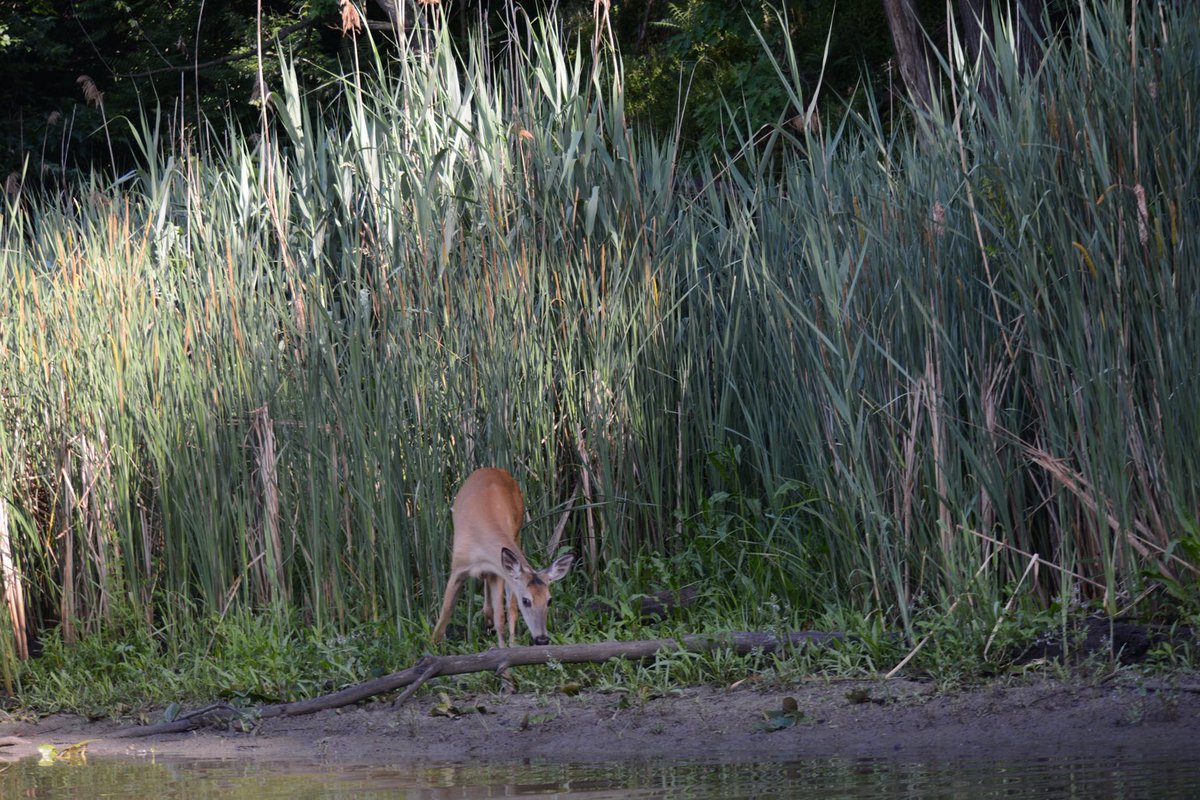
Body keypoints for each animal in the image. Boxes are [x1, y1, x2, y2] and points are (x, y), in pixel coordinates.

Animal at [431, 468, 574, 648]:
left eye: (549, 600)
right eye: (526, 600)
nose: (542, 639)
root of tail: (495, 469)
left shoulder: (497, 571)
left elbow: (500, 616)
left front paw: (503, 648)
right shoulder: (458, 567)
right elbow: (445, 612)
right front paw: (432, 645)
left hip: (516, 534)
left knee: (509, 607)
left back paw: (508, 640)